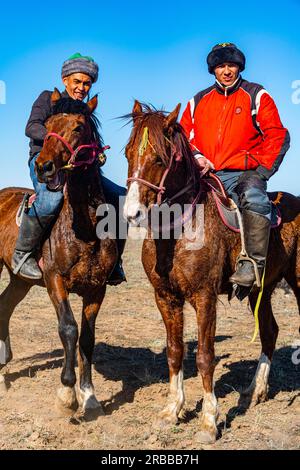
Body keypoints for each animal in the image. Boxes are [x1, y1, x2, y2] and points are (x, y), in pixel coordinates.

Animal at [0, 90, 117, 414]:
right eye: (48, 125)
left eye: (78, 127)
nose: (43, 166)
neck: (85, 229)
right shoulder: (55, 281)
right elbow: (68, 329)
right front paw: (67, 392)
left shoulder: (97, 288)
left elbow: (87, 337)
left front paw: (89, 395)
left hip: (20, 280)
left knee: (4, 305)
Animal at [122, 102, 300, 444]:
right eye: (127, 153)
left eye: (159, 158)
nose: (131, 214)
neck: (178, 232)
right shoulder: (165, 298)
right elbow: (175, 351)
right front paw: (171, 411)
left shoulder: (204, 297)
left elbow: (205, 356)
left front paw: (208, 420)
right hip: (261, 291)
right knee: (270, 332)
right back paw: (254, 391)